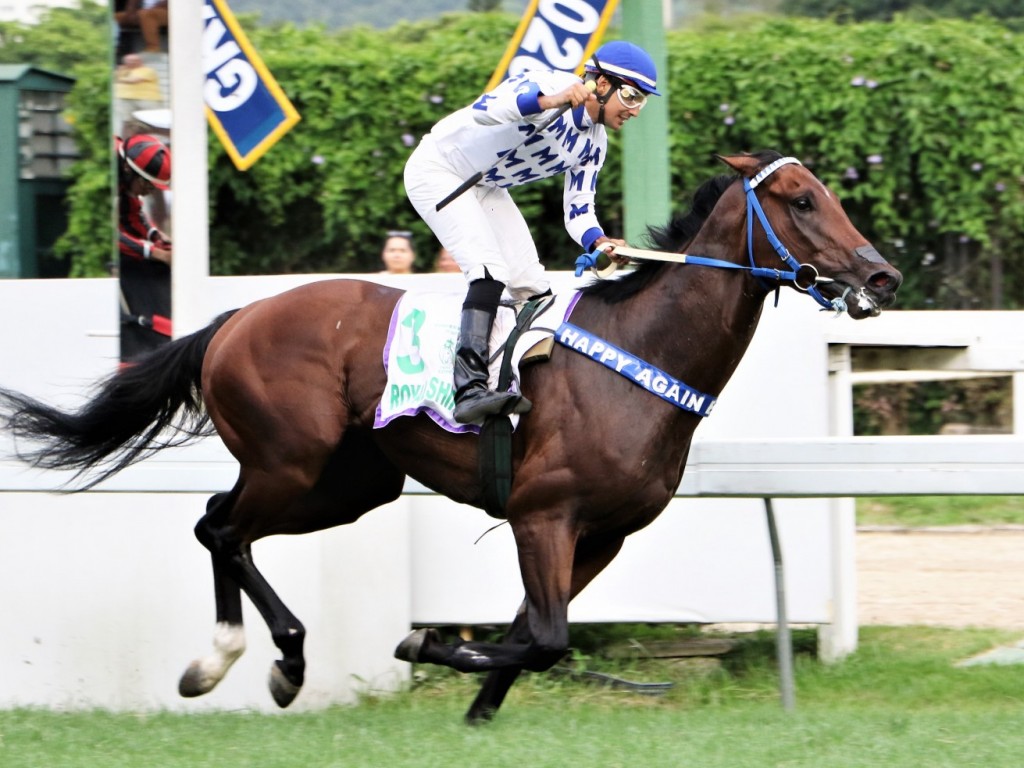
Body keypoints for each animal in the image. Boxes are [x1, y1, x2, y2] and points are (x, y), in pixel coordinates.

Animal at [0, 150, 897, 720]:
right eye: (803, 200)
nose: (881, 275)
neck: (638, 354)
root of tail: (237, 316)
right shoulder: (543, 514)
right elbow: (544, 639)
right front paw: (430, 645)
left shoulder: (601, 534)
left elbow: (533, 635)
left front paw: (475, 706)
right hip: (290, 461)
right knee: (221, 526)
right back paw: (258, 658)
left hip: (350, 484)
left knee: (221, 521)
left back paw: (239, 663)